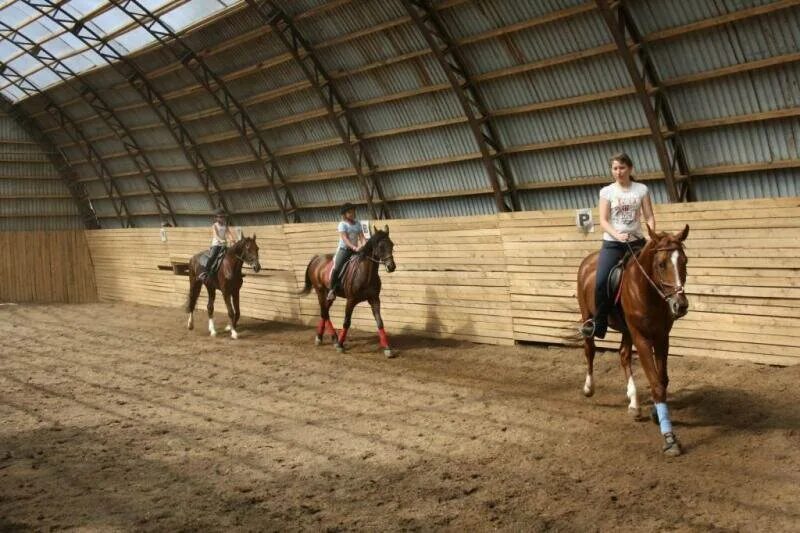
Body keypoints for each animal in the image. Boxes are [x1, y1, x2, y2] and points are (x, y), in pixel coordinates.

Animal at [296, 225, 396, 358]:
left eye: (392, 245)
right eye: (380, 246)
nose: (391, 266)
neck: (366, 274)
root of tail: (317, 258)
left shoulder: (374, 299)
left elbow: (380, 322)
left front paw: (387, 349)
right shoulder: (351, 300)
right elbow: (346, 322)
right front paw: (340, 346)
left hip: (329, 295)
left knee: (325, 312)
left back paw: (324, 338)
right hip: (320, 291)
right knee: (324, 312)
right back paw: (332, 339)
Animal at [580, 223, 692, 454]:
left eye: (684, 261)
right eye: (661, 264)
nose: (680, 305)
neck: (647, 290)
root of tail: (587, 261)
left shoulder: (662, 337)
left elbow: (662, 379)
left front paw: (656, 412)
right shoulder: (642, 339)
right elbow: (656, 383)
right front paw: (669, 438)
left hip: (626, 330)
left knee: (623, 355)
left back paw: (634, 403)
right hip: (588, 316)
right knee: (590, 350)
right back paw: (589, 388)